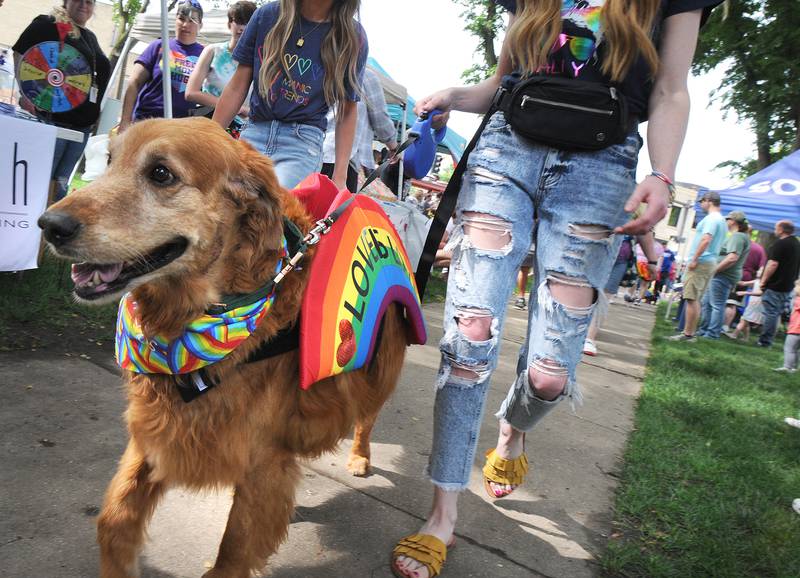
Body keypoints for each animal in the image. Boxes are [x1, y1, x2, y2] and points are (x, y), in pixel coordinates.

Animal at [36, 118, 410, 576]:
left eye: (161, 173)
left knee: (366, 418)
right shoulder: (157, 433)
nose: (50, 224)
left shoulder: (260, 462)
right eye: (108, 160)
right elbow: (114, 521)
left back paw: (359, 457)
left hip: (376, 374)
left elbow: (231, 555)